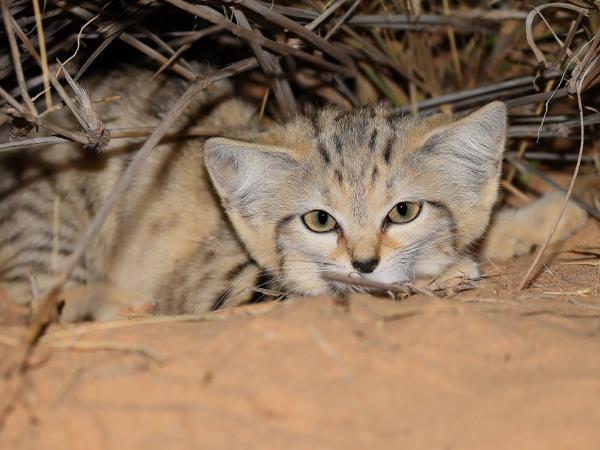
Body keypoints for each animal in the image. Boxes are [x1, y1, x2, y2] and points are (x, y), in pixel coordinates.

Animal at [0, 67, 584, 320]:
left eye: (404, 211)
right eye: (319, 221)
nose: (366, 262)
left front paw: (545, 217)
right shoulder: (213, 284)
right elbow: (318, 287)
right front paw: (442, 274)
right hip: (56, 233)